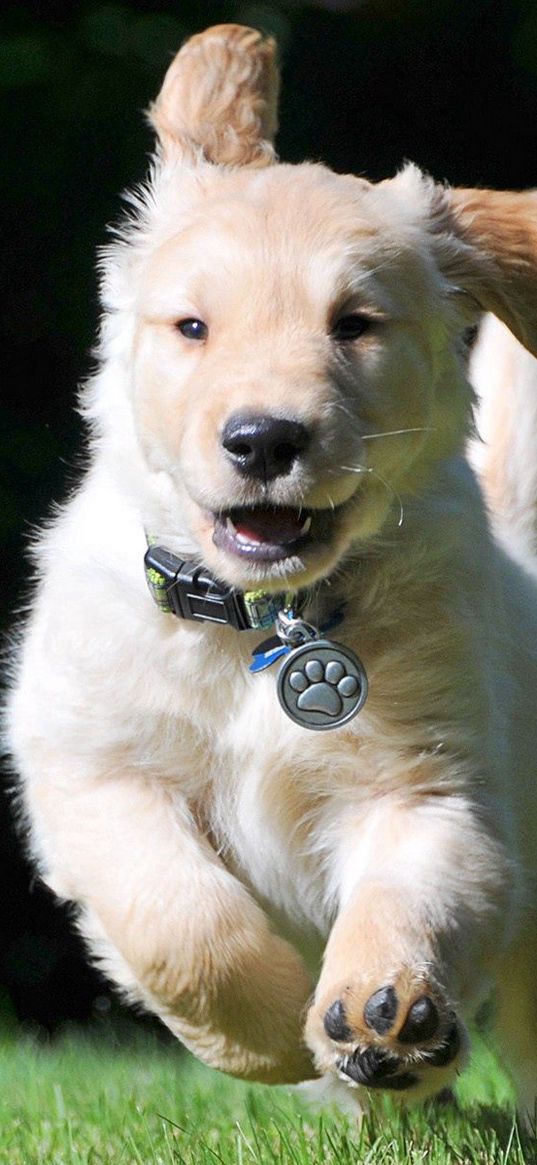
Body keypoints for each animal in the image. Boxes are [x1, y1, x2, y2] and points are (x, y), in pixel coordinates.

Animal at [6, 25, 535, 1118]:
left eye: (355, 324)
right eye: (192, 327)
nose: (263, 439)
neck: (264, 622)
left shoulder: (437, 787)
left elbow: (409, 895)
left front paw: (386, 1011)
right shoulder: (91, 766)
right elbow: (183, 923)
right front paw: (268, 1038)